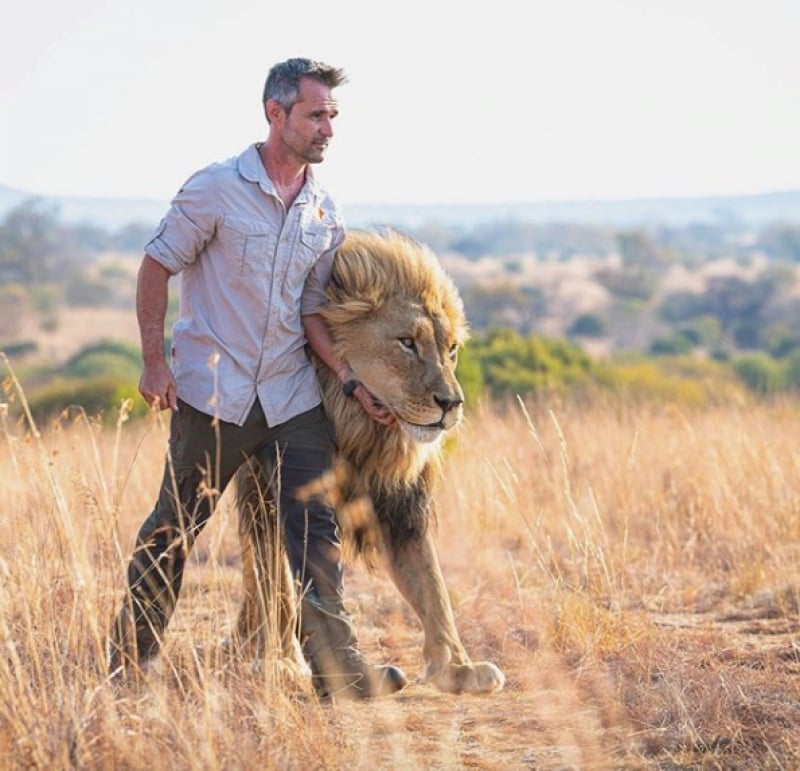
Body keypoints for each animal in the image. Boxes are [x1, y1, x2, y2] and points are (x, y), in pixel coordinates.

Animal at [233, 229, 506, 700]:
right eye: (407, 342)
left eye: (451, 349)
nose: (452, 404)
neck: (357, 429)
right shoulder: (267, 494)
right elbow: (274, 582)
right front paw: (280, 662)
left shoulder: (400, 506)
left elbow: (431, 583)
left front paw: (458, 668)